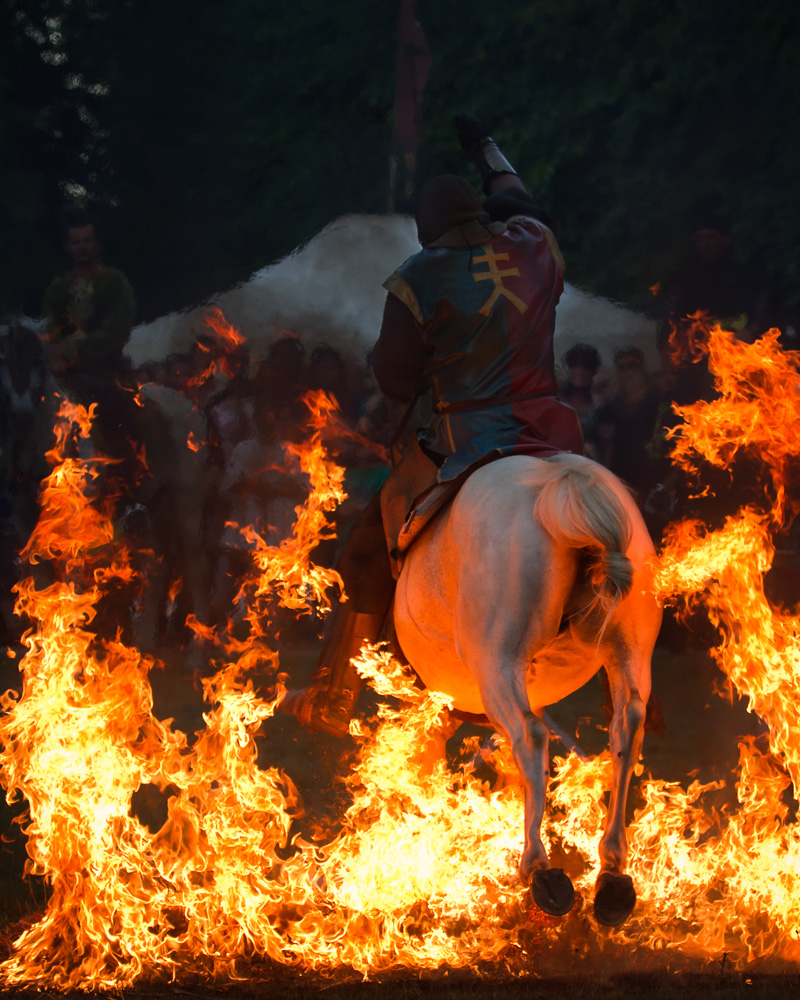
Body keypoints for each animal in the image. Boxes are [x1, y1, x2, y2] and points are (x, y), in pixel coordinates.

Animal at [394, 454, 664, 928]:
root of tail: (560, 476)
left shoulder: (434, 709)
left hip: (497, 659)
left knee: (530, 734)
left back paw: (540, 869)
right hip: (628, 649)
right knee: (627, 727)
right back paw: (612, 872)